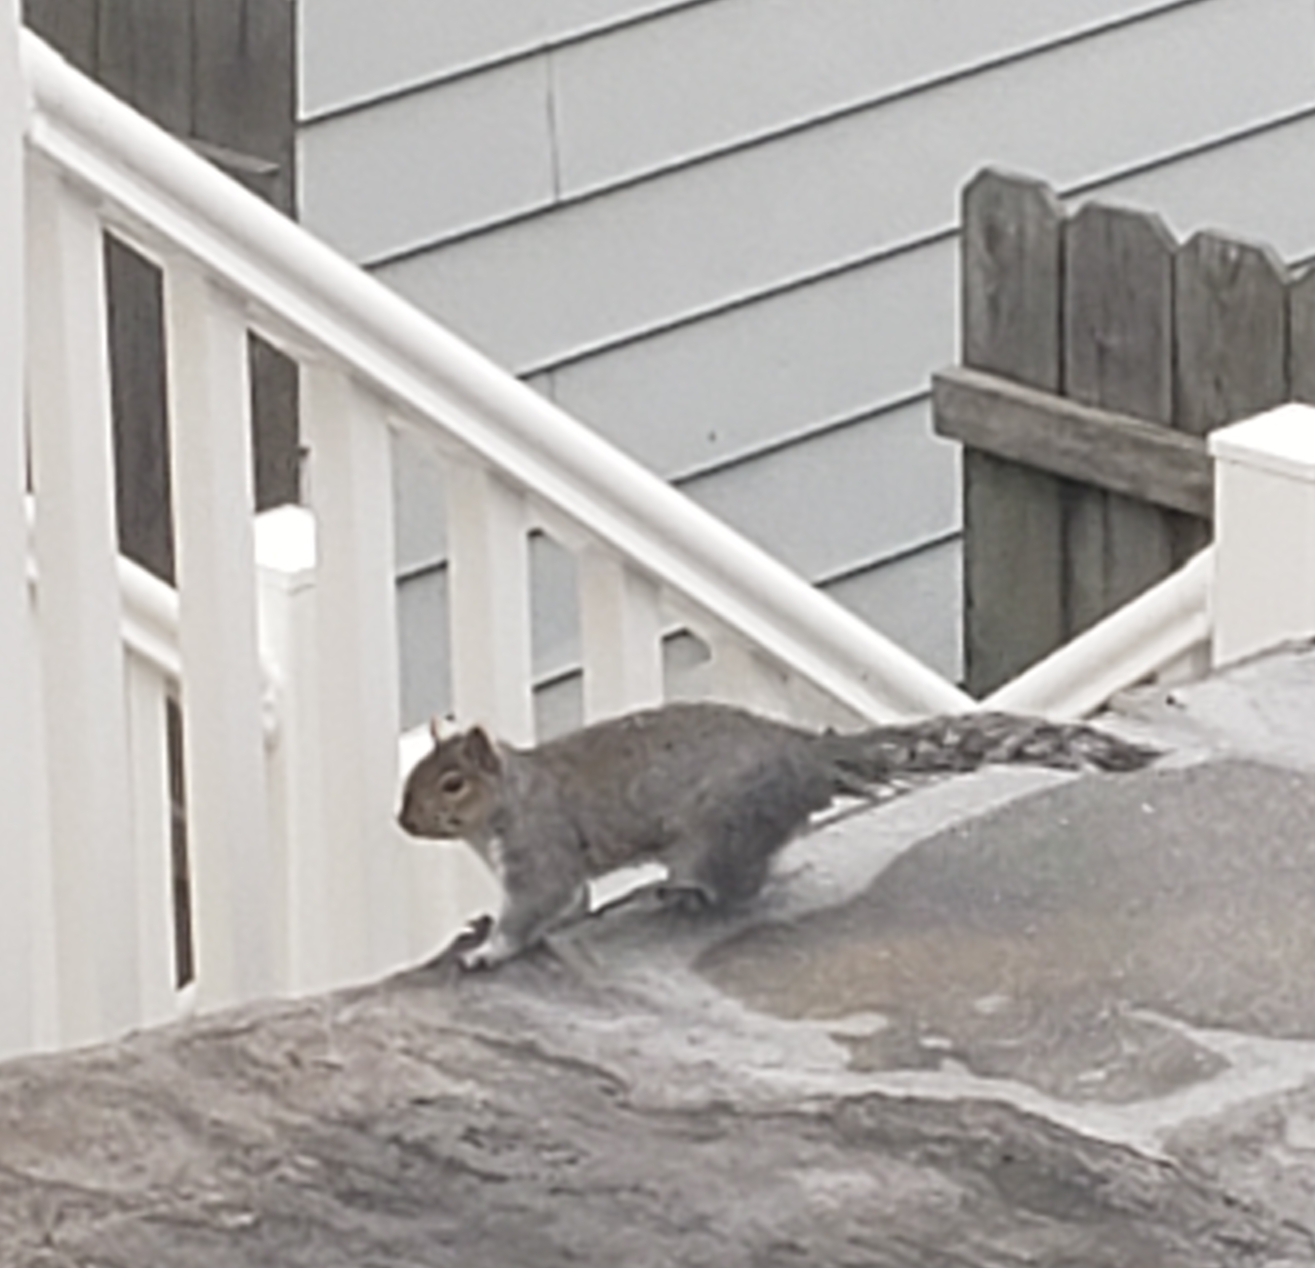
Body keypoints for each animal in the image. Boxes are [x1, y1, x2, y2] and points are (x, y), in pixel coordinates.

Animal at [397, 700, 1156, 969]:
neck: (511, 797)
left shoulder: (542, 845)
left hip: (718, 829)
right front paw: (476, 927)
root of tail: (809, 757)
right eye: (415, 773)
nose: (402, 821)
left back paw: (679, 896)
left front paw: (489, 950)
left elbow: (539, 905)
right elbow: (568, 904)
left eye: (452, 784)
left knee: (743, 883)